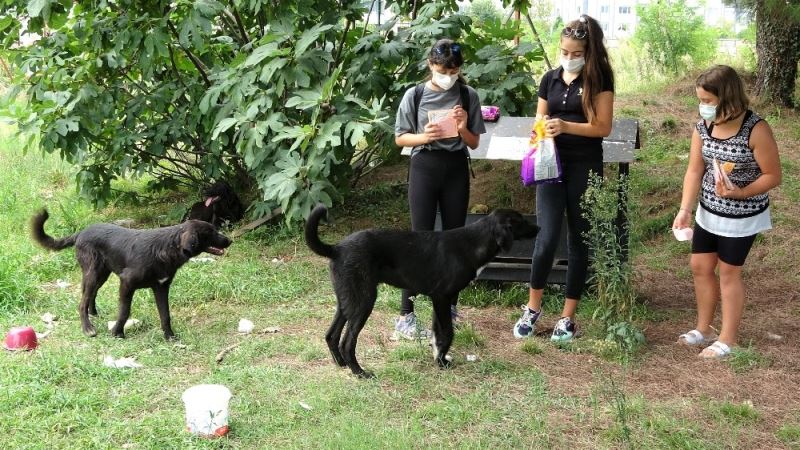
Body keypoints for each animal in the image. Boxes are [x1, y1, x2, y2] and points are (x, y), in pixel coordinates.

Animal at [31, 211, 231, 342]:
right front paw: (117, 333)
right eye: (211, 232)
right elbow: (124, 311)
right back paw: (88, 328)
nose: (230, 240)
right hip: (93, 273)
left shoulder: (161, 287)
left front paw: (169, 337)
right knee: (82, 302)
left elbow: (165, 315)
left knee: (91, 295)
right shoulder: (126, 283)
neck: (165, 249)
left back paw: (93, 313)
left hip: (102, 274)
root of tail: (81, 232)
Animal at [304, 206, 536, 378]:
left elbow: (438, 333)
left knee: (331, 335)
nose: (540, 227)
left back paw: (341, 364)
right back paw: (359, 372)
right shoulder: (442, 297)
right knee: (347, 342)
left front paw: (438, 357)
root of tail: (336, 249)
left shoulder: (438, 300)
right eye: (521, 221)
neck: (474, 241)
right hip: (364, 302)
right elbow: (448, 333)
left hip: (348, 301)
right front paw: (442, 362)